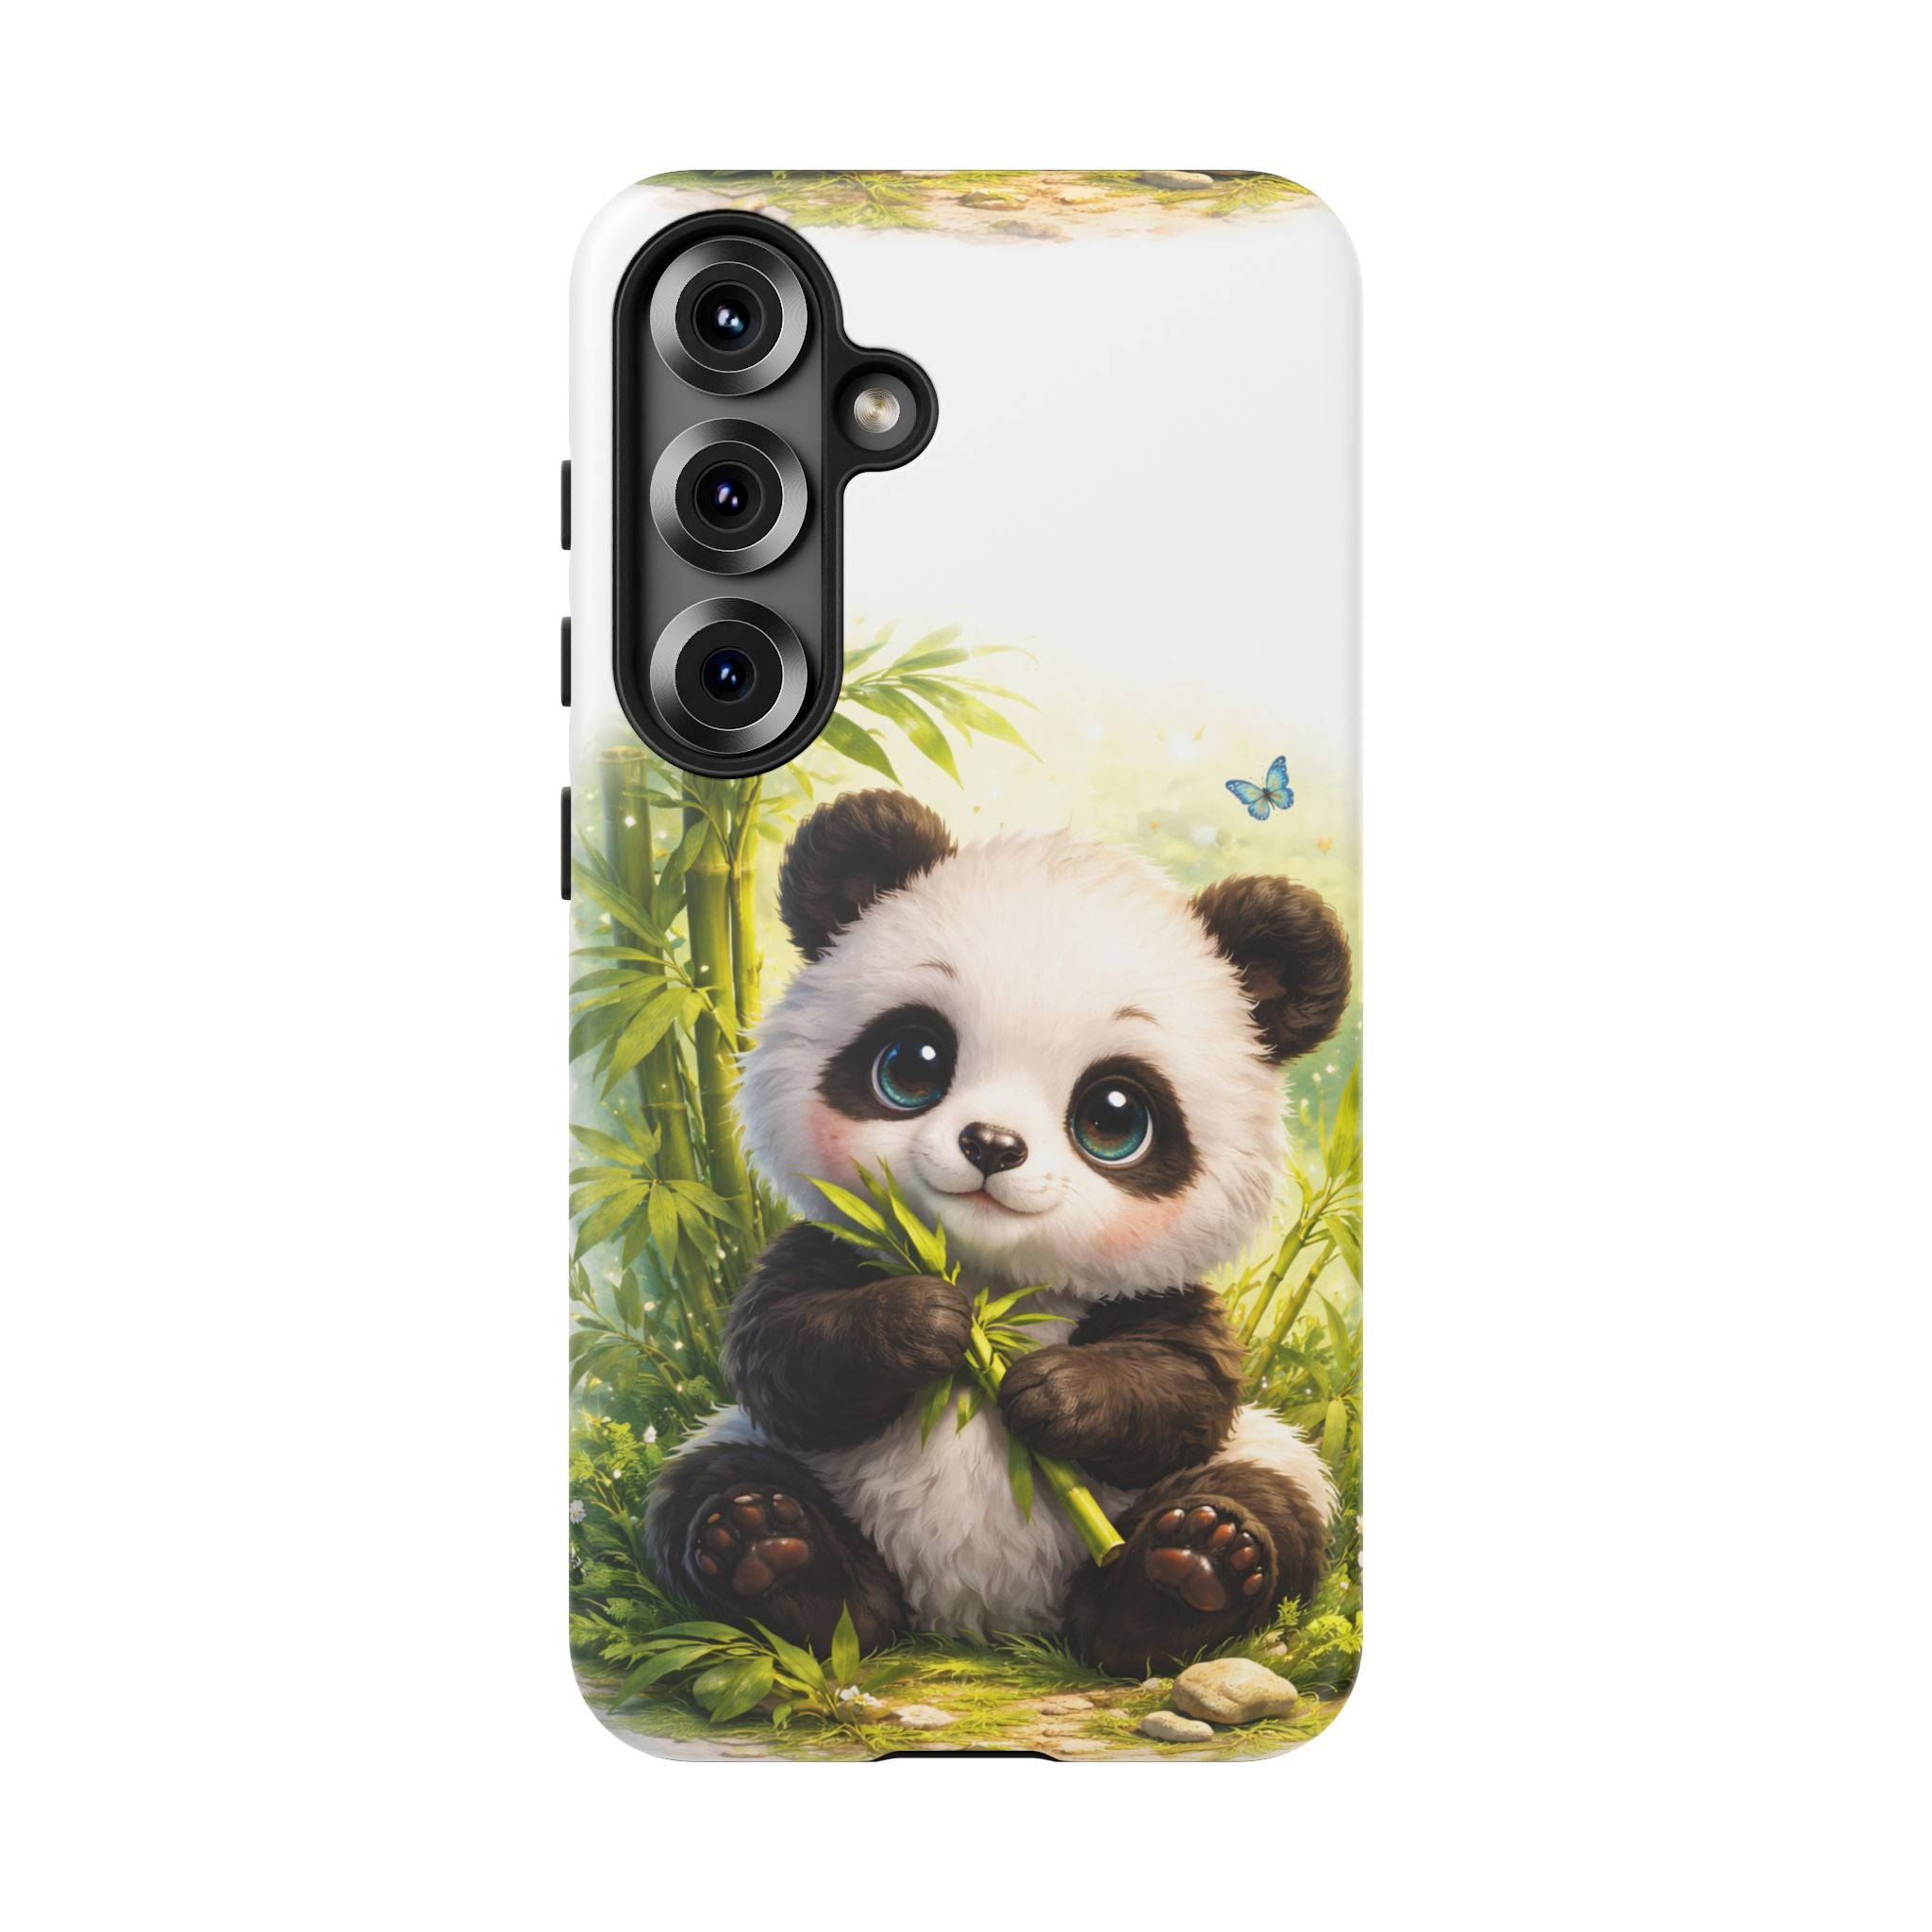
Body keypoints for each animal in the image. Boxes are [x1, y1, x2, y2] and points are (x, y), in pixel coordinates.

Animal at [644, 788, 1353, 1676]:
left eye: (1114, 1118)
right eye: (912, 1065)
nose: (991, 1145)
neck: (990, 1278)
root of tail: (980, 1617)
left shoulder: (1158, 1298)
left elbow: (1188, 1384)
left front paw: (1053, 1388)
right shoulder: (829, 1249)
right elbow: (777, 1349)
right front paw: (922, 1321)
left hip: (1259, 1460)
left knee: (1267, 1501)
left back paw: (1188, 1572)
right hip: (759, 1462)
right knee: (713, 1486)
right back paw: (774, 1553)